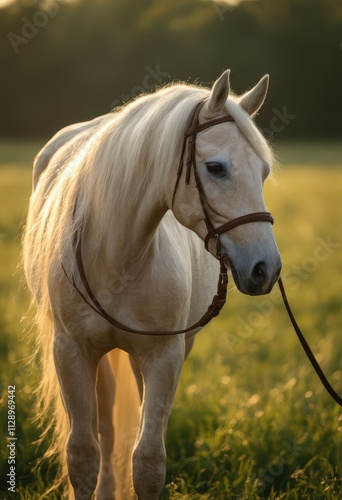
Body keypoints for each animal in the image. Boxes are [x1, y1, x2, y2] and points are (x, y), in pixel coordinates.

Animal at [23, 71, 280, 500]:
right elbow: (82, 455)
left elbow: (147, 462)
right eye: (216, 168)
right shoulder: (71, 351)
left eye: (263, 172)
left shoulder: (164, 356)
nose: (267, 268)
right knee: (106, 425)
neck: (116, 254)